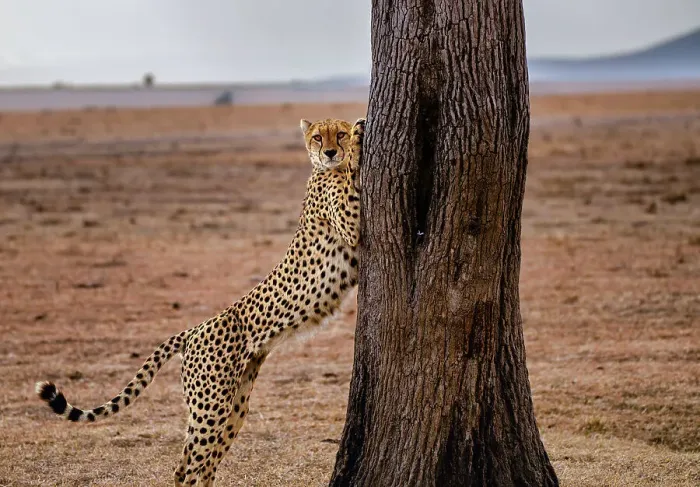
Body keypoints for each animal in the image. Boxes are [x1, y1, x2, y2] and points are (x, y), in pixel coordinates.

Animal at [35, 117, 365, 486]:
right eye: (318, 137)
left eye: (336, 134)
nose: (331, 151)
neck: (321, 171)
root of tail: (194, 330)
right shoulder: (350, 225)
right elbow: (352, 184)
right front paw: (359, 139)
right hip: (211, 406)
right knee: (189, 467)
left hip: (234, 405)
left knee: (197, 465)